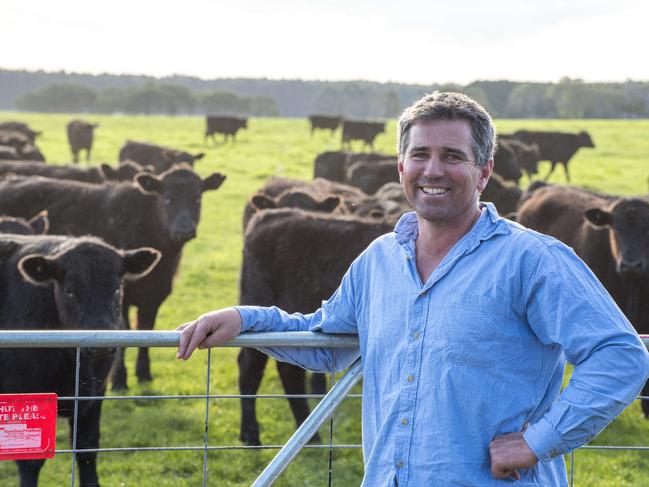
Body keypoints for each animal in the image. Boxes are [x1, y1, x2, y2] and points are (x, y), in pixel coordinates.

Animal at [0, 167, 227, 388]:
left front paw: (143, 373)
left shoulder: (153, 296)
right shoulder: (125, 303)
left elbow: (145, 329)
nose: (184, 230)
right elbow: (125, 334)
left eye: (197, 199)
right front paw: (120, 380)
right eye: (168, 199)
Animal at [0, 234, 159, 486]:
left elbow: (87, 449)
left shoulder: (94, 395)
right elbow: (31, 460)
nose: (100, 343)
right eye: (70, 291)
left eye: (117, 288)